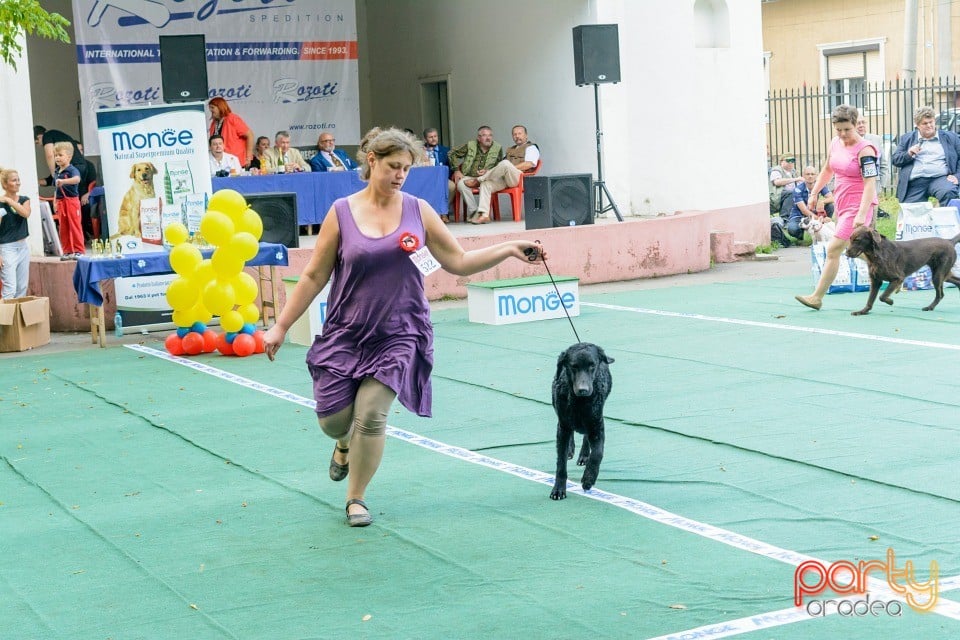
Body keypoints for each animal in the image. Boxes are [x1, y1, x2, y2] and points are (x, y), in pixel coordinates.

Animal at [548, 344, 616, 500]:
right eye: (573, 366)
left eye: (592, 365)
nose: (583, 390)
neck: (580, 403)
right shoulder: (563, 426)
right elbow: (561, 465)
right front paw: (558, 490)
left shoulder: (597, 427)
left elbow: (597, 454)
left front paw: (588, 480)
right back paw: (570, 449)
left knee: (586, 438)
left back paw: (584, 456)